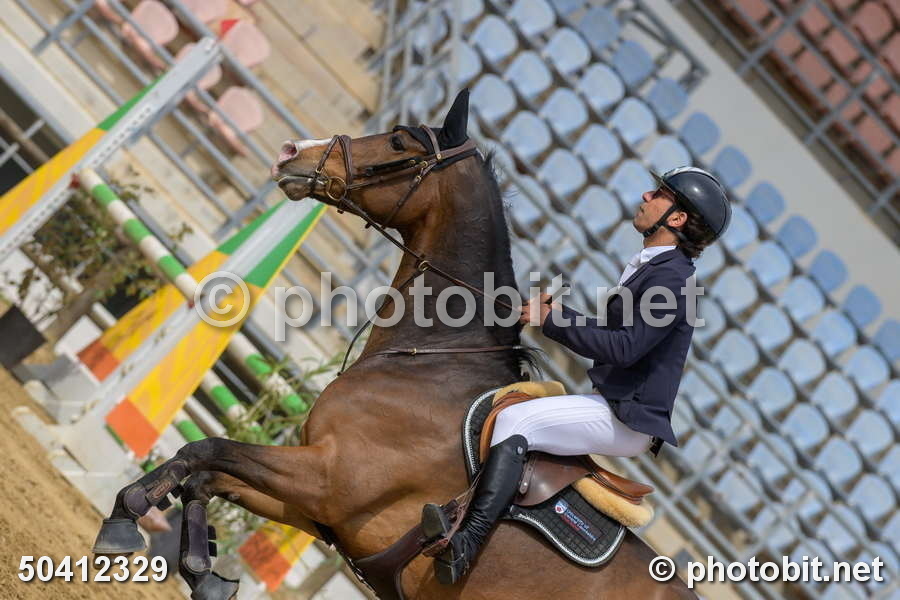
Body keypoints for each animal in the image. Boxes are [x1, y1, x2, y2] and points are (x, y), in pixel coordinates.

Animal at [92, 90, 697, 599]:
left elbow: (205, 449)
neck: (428, 361)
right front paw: (204, 571)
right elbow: (206, 477)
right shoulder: (314, 506)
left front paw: (126, 517)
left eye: (399, 143)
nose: (290, 152)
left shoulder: (326, 477)